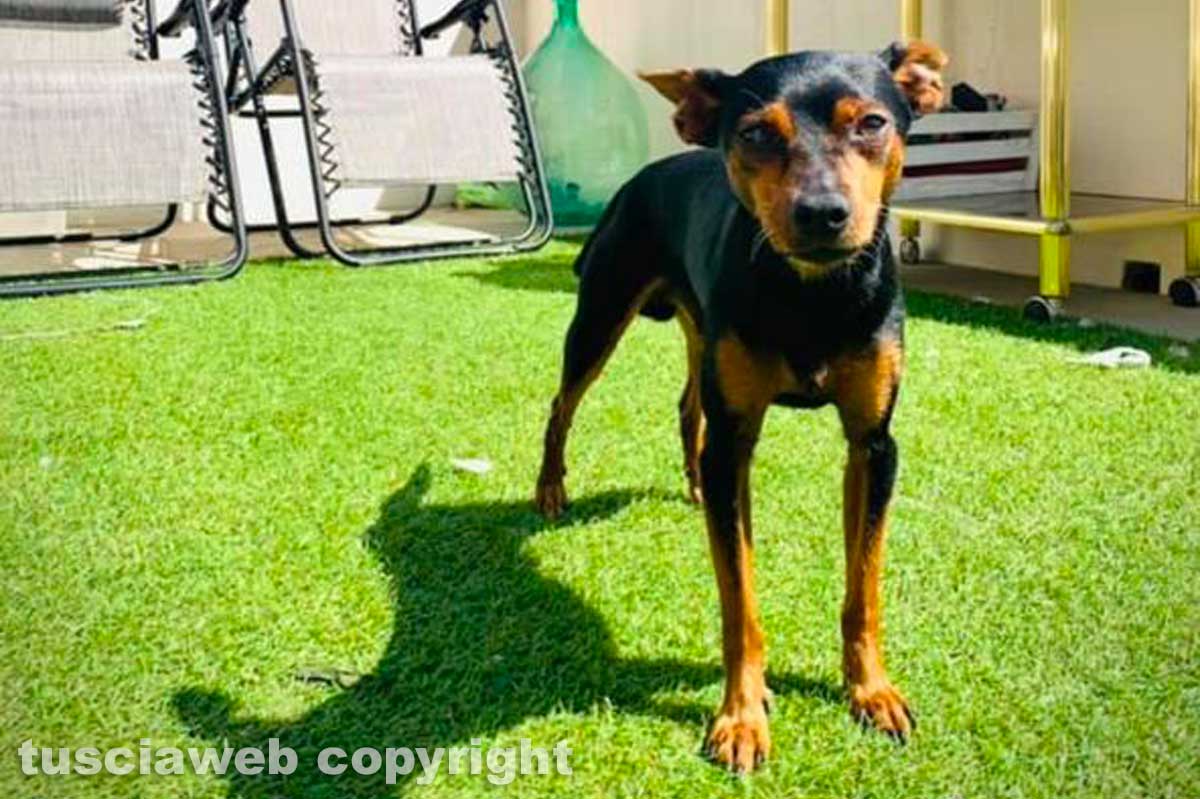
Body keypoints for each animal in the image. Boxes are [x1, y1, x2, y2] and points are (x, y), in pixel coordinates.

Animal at [534, 42, 948, 773]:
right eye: (755, 133)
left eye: (872, 123)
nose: (821, 212)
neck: (811, 294)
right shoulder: (737, 446)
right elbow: (740, 601)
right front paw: (740, 717)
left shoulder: (873, 445)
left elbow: (863, 586)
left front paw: (871, 691)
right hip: (601, 314)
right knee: (562, 405)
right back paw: (552, 488)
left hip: (702, 338)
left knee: (687, 408)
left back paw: (693, 485)